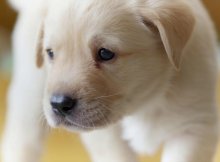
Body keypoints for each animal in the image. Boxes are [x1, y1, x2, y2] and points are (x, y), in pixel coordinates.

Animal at [0, 0, 219, 162]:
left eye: (105, 53)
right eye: (50, 53)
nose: (59, 104)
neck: (146, 103)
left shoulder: (195, 127)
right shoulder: (106, 137)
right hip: (29, 96)